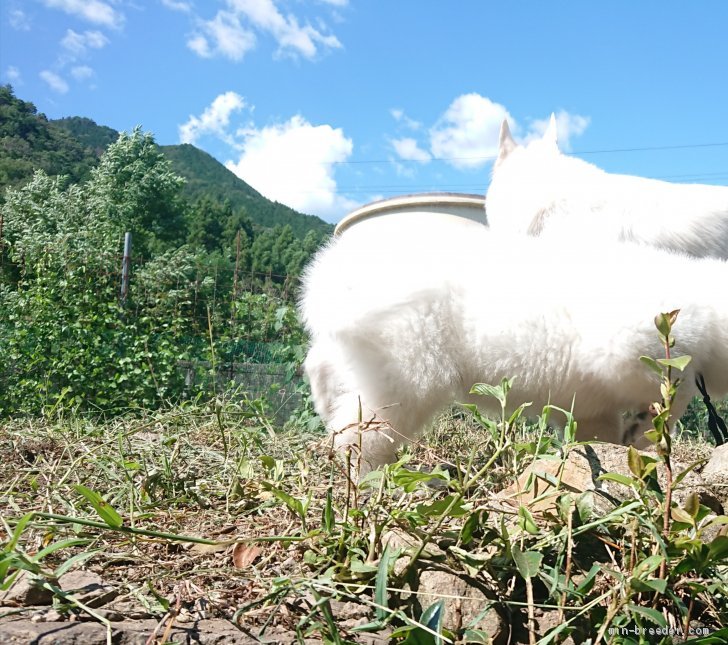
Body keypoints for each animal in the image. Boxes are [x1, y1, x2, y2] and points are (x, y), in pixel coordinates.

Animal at [298, 219, 724, 476]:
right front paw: (648, 428)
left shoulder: (591, 403)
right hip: (405, 373)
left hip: (360, 357)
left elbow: (597, 429)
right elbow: (671, 390)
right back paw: (365, 477)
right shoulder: (629, 344)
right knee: (362, 431)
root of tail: (330, 275)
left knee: (321, 369)